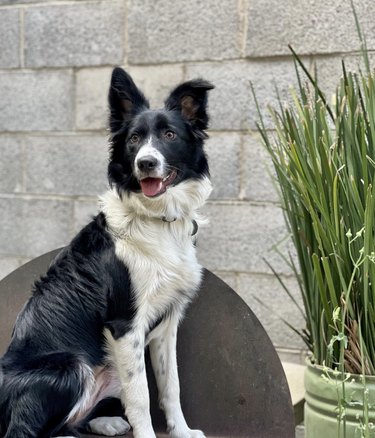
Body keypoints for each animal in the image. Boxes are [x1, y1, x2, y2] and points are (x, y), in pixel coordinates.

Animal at [0, 68, 214, 438]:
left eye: (170, 134)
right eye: (134, 139)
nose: (146, 163)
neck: (157, 219)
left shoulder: (167, 323)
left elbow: (170, 386)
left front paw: (182, 432)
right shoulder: (125, 324)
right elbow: (141, 396)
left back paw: (105, 421)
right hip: (71, 365)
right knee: (24, 430)